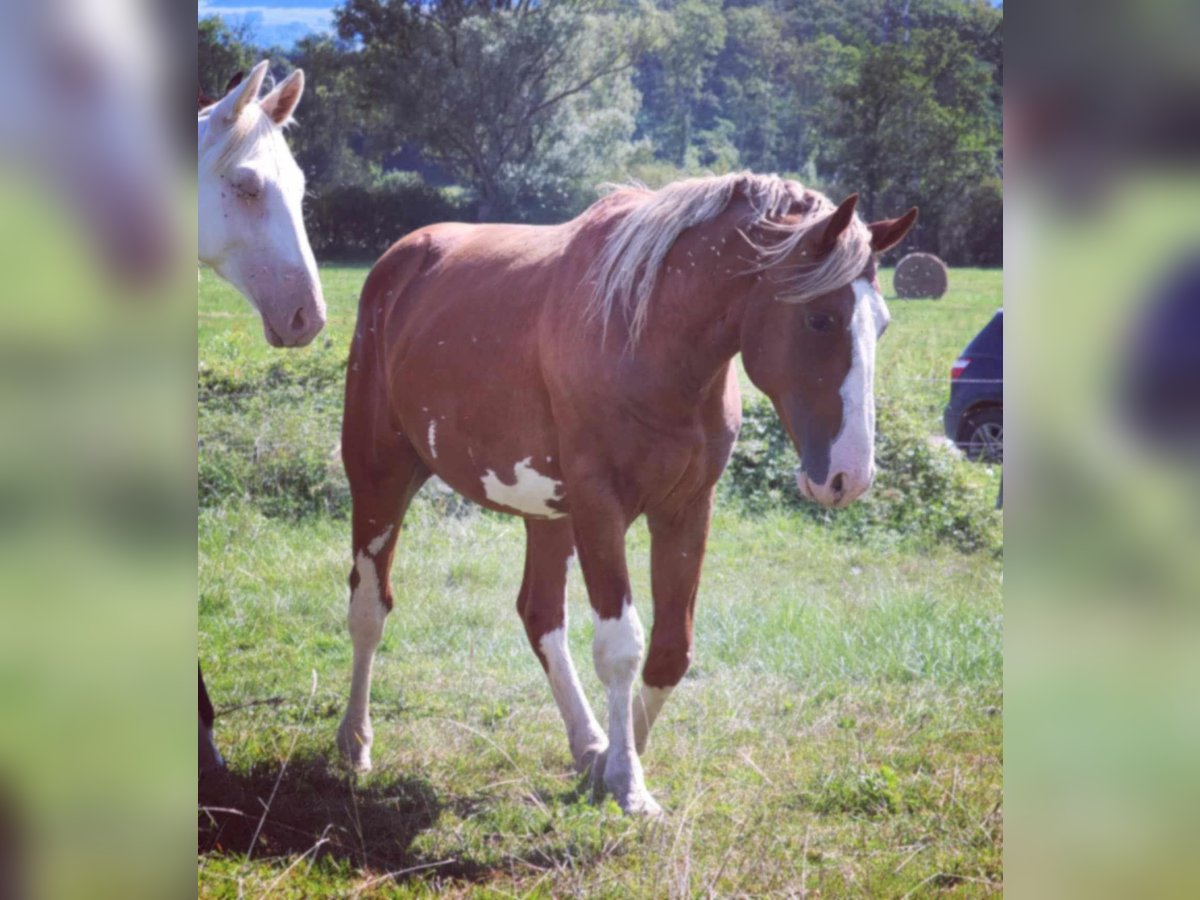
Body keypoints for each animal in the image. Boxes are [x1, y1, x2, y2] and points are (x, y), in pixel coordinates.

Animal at [333, 172, 912, 816]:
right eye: (820, 320)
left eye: (882, 324)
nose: (849, 477)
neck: (648, 336)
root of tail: (399, 261)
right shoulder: (599, 508)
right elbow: (621, 647)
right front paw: (629, 785)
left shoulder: (685, 509)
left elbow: (670, 650)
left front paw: (610, 761)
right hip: (381, 476)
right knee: (368, 608)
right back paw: (355, 742)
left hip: (547, 513)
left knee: (540, 616)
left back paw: (586, 742)